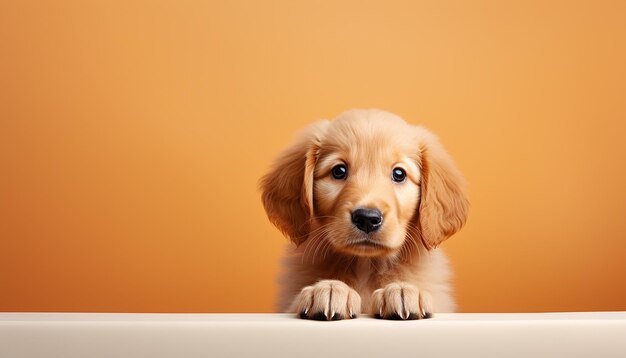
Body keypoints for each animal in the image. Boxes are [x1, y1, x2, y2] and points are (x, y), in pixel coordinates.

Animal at [260, 109, 468, 322]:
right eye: (339, 171)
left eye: (399, 174)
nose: (367, 218)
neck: (365, 266)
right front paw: (330, 288)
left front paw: (401, 289)